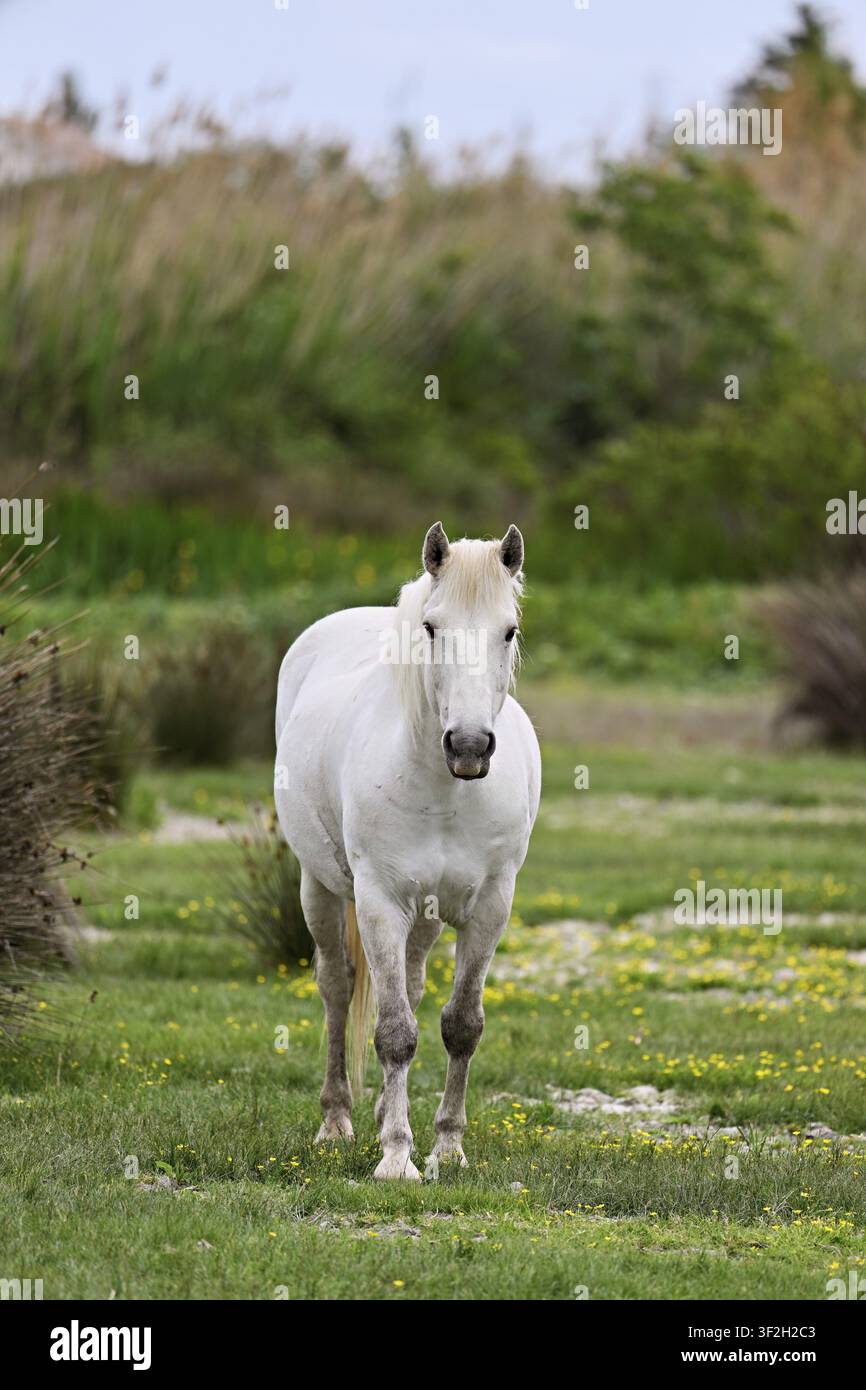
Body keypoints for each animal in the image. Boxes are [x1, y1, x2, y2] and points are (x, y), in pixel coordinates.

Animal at [274, 522, 541, 1179]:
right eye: (432, 628)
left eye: (509, 630)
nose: (468, 745)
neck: (446, 791)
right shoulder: (380, 904)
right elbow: (393, 1030)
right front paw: (397, 1157)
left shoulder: (489, 908)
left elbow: (460, 1025)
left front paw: (448, 1147)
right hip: (320, 889)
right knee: (338, 989)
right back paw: (338, 1121)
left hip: (428, 917)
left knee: (415, 988)